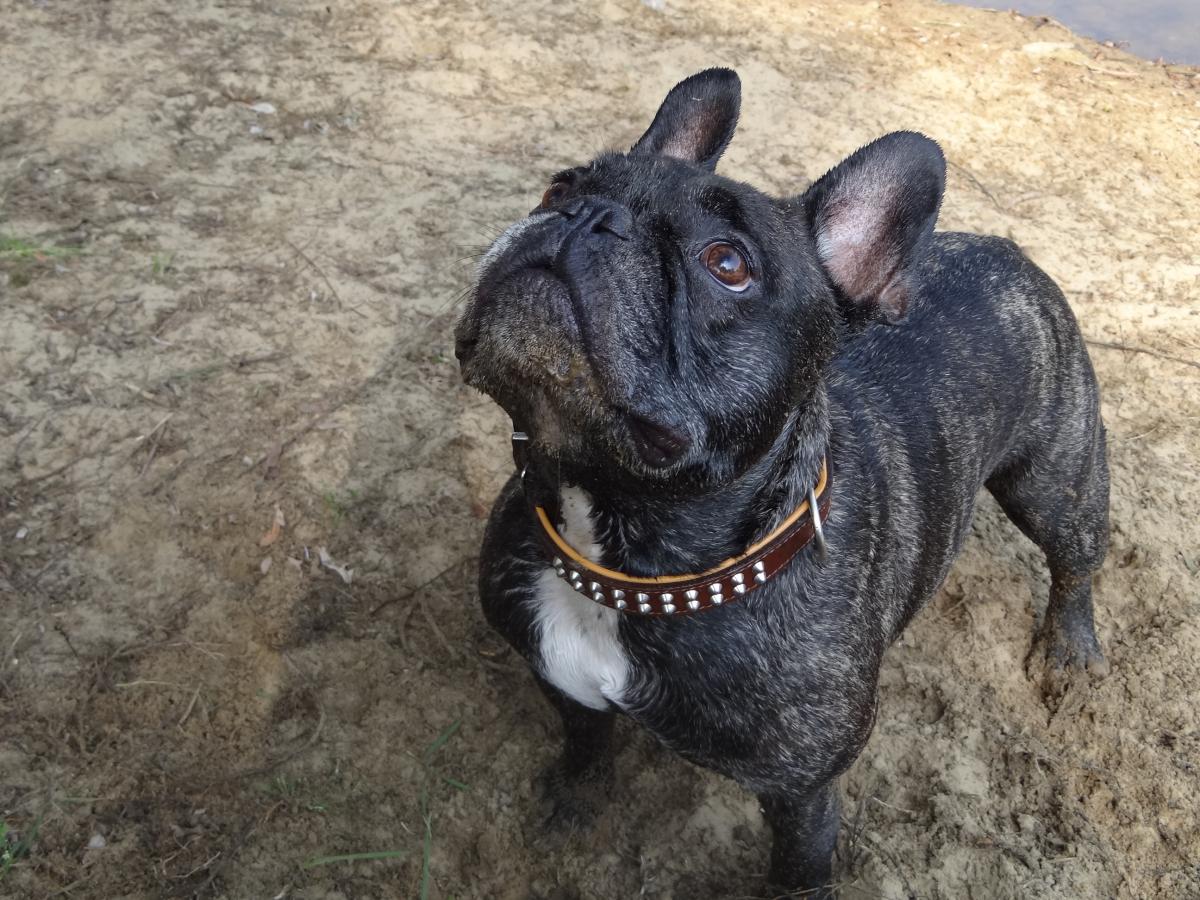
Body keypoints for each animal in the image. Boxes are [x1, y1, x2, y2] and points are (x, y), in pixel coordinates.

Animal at [454, 68, 1109, 895]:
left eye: (727, 263)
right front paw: (575, 795)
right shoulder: (557, 675)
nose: (585, 215)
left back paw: (1070, 647)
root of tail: (1007, 250)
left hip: (1053, 480)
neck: (621, 552)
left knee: (1075, 554)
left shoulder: (802, 794)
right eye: (557, 185)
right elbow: (584, 739)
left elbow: (796, 867)